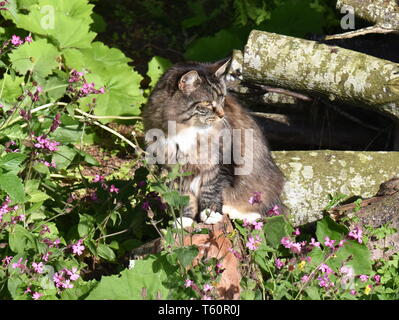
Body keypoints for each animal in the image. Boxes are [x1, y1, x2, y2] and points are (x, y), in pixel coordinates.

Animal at [142, 58, 286, 226]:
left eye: (222, 98)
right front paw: (185, 220)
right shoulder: (175, 168)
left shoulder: (220, 162)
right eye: (207, 103)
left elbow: (211, 190)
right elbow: (185, 197)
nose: (222, 115)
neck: (185, 129)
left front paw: (210, 214)